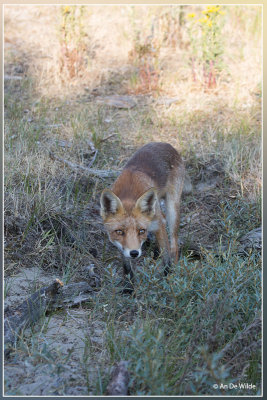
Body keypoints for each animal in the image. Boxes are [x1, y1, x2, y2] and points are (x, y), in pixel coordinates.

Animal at [101, 141, 191, 282]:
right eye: (119, 232)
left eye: (141, 231)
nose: (134, 253)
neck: (129, 193)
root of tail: (166, 144)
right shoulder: (122, 245)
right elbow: (126, 266)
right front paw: (129, 285)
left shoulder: (159, 226)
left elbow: (166, 257)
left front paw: (168, 278)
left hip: (172, 209)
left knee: (174, 245)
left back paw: (175, 269)